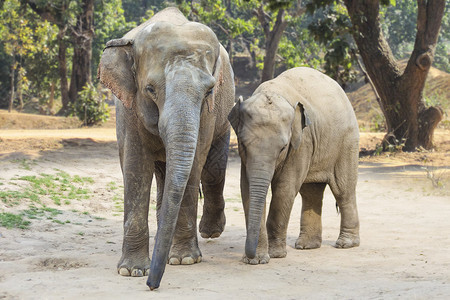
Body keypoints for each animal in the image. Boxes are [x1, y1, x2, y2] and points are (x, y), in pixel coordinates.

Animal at [98, 7, 236, 290]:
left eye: (209, 91)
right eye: (150, 89)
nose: (152, 285)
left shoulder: (209, 113)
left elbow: (194, 165)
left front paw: (184, 260)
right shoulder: (128, 108)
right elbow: (136, 167)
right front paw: (131, 271)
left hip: (224, 116)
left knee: (213, 171)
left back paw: (210, 231)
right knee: (164, 172)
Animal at [230, 67, 360, 264]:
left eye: (283, 147)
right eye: (243, 144)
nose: (249, 256)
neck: (274, 92)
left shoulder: (301, 142)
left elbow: (285, 188)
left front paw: (275, 255)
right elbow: (246, 188)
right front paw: (257, 260)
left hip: (347, 141)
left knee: (343, 190)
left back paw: (346, 244)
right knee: (311, 192)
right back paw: (307, 246)